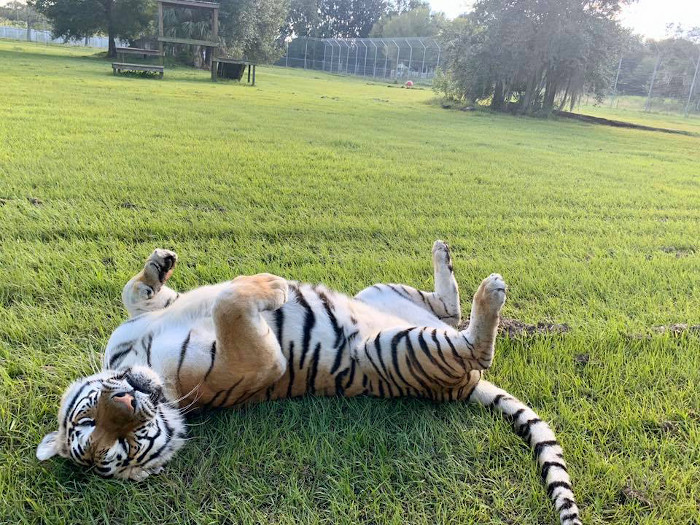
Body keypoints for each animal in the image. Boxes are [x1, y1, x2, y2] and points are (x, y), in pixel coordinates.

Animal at [35, 242, 584, 524]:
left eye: (90, 418)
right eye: (120, 447)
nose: (128, 399)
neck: (144, 364)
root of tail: (461, 387)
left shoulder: (145, 318)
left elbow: (138, 291)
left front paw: (162, 263)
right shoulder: (260, 362)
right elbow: (229, 303)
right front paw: (271, 285)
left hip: (382, 293)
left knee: (448, 308)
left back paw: (445, 254)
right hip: (399, 347)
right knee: (476, 349)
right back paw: (490, 292)